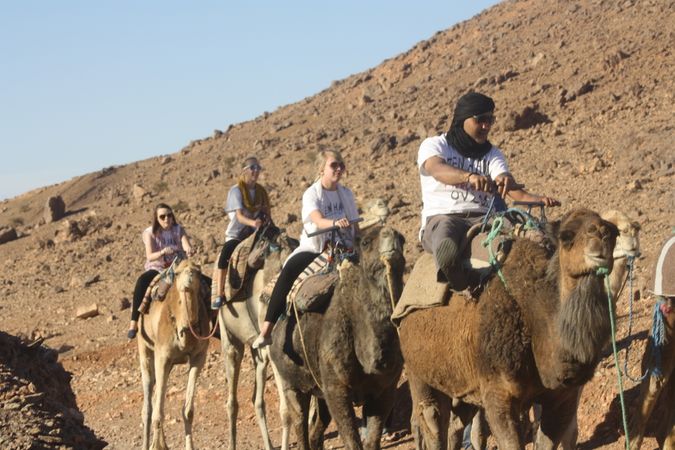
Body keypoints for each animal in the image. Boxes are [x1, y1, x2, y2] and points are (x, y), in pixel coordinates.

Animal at [136, 260, 210, 450]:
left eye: (197, 272)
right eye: (177, 273)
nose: (188, 280)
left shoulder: (199, 356)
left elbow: (188, 410)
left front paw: (189, 446)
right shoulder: (162, 356)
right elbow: (158, 412)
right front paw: (156, 446)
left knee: (156, 399)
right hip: (145, 348)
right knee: (149, 404)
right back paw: (147, 444)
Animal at [270, 225, 406, 450]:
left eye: (403, 239)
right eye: (366, 242)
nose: (392, 234)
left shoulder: (385, 389)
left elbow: (372, 440)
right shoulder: (337, 390)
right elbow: (352, 440)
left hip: (318, 389)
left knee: (317, 426)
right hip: (291, 382)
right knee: (300, 422)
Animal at [398, 210, 620, 450]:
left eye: (614, 233)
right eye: (566, 236)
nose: (601, 234)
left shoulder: (563, 397)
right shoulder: (499, 395)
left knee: (457, 422)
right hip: (416, 369)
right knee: (432, 416)